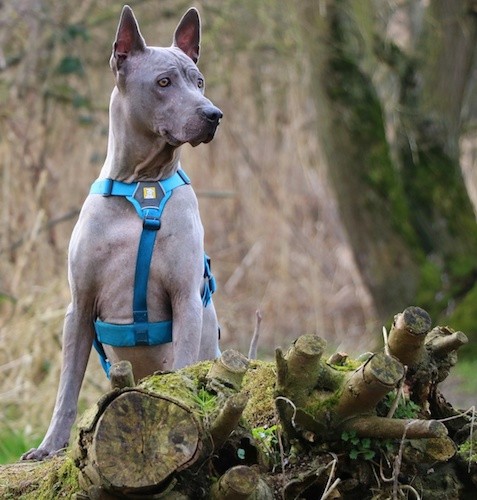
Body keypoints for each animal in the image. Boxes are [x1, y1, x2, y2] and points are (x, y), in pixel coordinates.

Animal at [22, 3, 221, 458]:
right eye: (164, 82)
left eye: (199, 81)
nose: (213, 114)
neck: (141, 187)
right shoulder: (79, 306)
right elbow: (67, 387)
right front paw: (49, 446)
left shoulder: (186, 297)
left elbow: (182, 365)